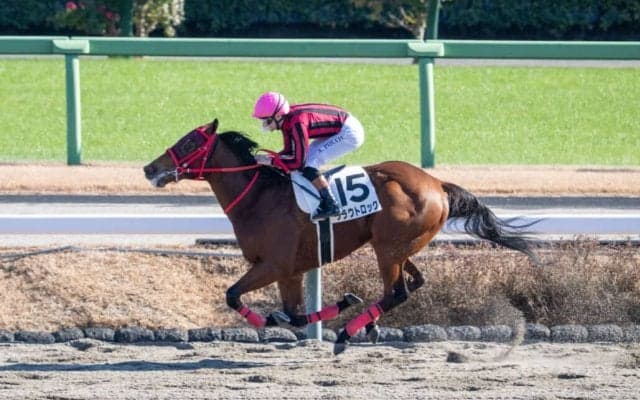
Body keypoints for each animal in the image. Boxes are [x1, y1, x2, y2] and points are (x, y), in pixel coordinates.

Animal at [143, 119, 539, 355]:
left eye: (189, 141)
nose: (150, 168)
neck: (259, 196)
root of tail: (436, 183)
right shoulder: (290, 271)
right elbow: (293, 314)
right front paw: (335, 305)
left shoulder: (274, 265)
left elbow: (234, 296)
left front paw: (327, 310)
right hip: (400, 246)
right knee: (414, 282)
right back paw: (368, 325)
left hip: (387, 248)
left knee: (396, 291)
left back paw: (349, 334)